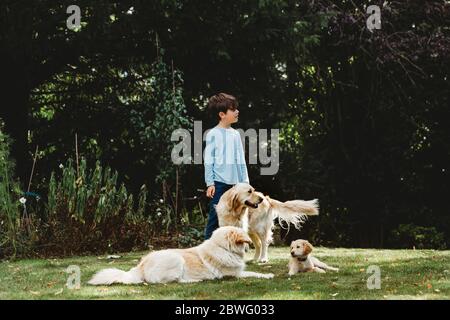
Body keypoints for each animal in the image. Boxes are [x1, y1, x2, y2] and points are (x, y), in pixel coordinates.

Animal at [86, 225, 272, 284]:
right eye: (245, 241)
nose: (249, 247)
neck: (223, 248)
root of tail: (140, 266)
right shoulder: (235, 275)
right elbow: (254, 273)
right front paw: (268, 275)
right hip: (176, 259)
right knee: (175, 281)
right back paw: (196, 280)